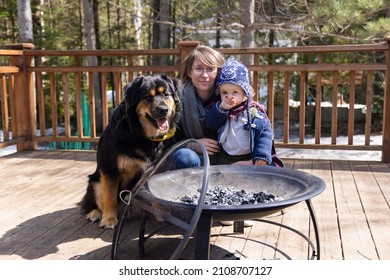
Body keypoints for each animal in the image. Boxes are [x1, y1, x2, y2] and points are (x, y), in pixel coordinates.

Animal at [81, 75, 182, 230]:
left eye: (166, 94)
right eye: (147, 97)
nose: (163, 110)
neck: (142, 135)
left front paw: (161, 214)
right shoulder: (110, 169)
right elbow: (109, 197)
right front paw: (108, 219)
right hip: (95, 183)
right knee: (93, 202)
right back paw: (95, 213)